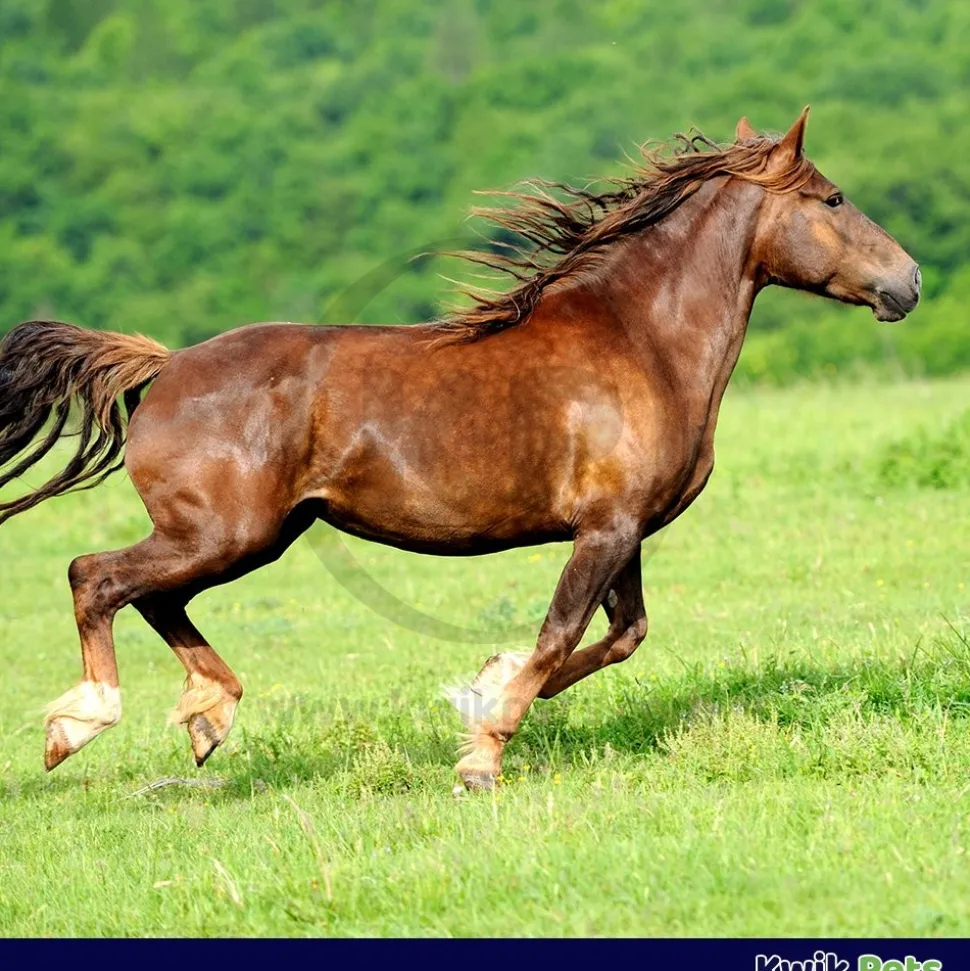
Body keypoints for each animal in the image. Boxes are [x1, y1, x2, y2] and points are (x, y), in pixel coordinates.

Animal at [0, 108, 919, 790]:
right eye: (833, 199)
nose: (907, 282)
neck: (641, 341)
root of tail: (165, 367)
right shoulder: (605, 528)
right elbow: (559, 635)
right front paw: (482, 752)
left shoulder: (625, 529)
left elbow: (619, 636)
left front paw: (481, 692)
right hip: (225, 533)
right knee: (96, 576)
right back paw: (79, 725)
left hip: (248, 537)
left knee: (153, 597)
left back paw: (207, 717)